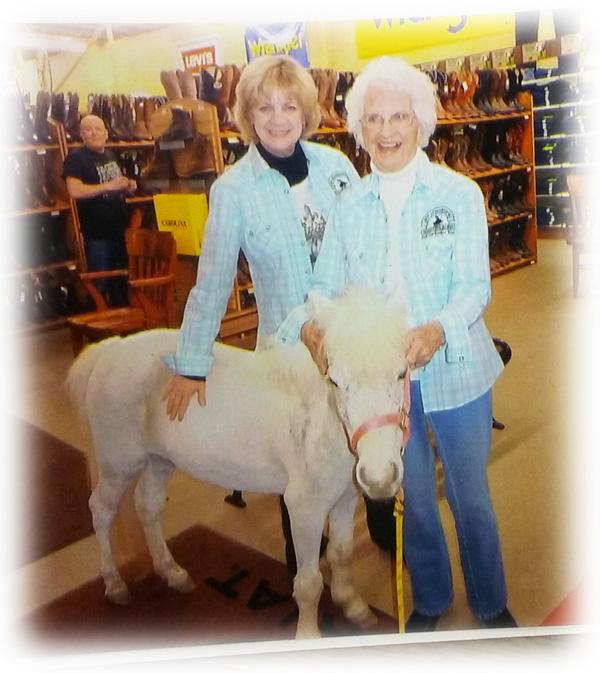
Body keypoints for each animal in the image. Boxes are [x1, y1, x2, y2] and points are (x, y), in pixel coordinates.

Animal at [68, 286, 410, 636]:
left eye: (401, 373)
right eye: (335, 380)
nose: (380, 477)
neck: (322, 420)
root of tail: (110, 351)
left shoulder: (344, 499)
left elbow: (341, 554)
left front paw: (354, 607)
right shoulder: (305, 509)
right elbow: (309, 583)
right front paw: (308, 633)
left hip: (159, 460)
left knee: (147, 506)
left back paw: (173, 574)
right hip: (119, 465)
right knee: (101, 510)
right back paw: (114, 584)